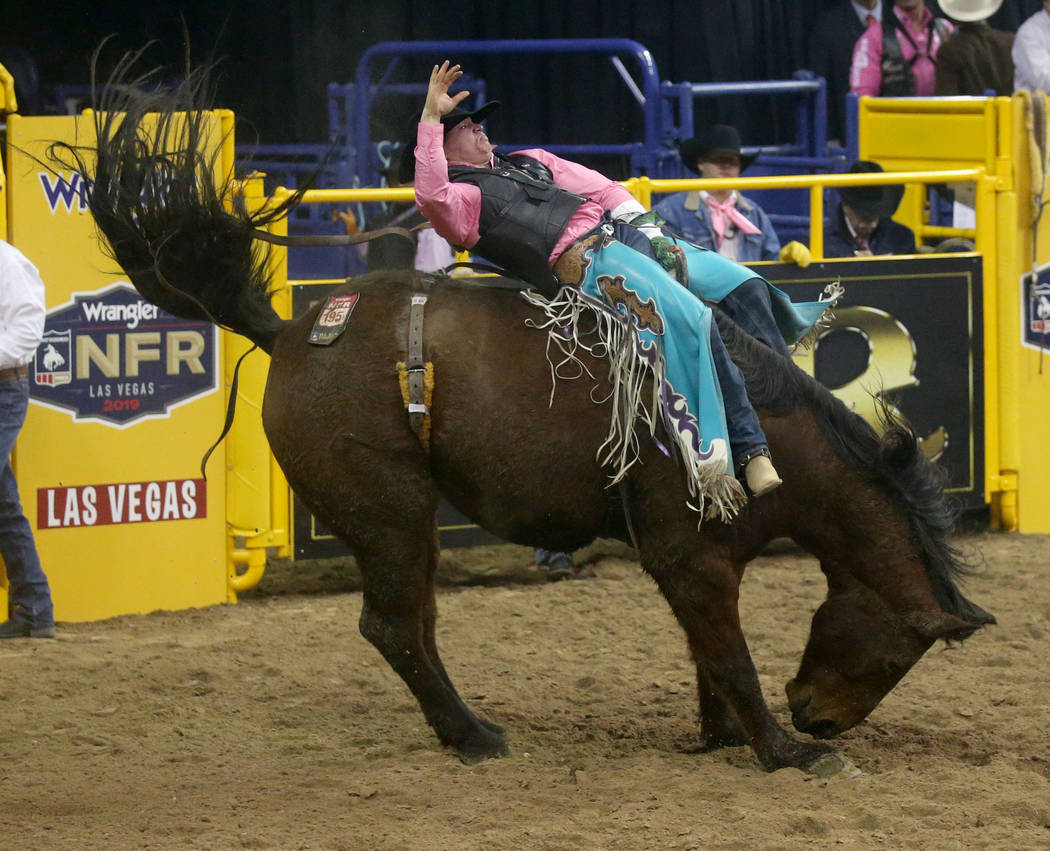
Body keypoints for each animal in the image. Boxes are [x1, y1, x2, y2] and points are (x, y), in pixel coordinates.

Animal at [55, 58, 991, 777]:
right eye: (899, 648)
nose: (816, 713)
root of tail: (292, 329)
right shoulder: (690, 555)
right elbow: (727, 652)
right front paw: (787, 751)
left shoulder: (701, 563)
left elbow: (707, 654)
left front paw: (723, 733)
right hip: (386, 505)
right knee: (392, 621)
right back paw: (474, 736)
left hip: (403, 519)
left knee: (415, 622)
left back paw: (465, 727)